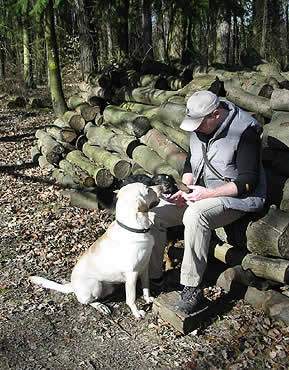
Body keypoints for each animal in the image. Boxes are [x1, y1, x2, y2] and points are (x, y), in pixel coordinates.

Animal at [29, 184, 162, 320]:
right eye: (148, 189)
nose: (162, 187)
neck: (135, 229)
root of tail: (73, 286)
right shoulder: (132, 274)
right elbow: (131, 298)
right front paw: (137, 313)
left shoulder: (145, 266)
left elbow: (146, 286)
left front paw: (147, 299)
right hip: (95, 285)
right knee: (87, 301)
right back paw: (100, 306)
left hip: (108, 286)